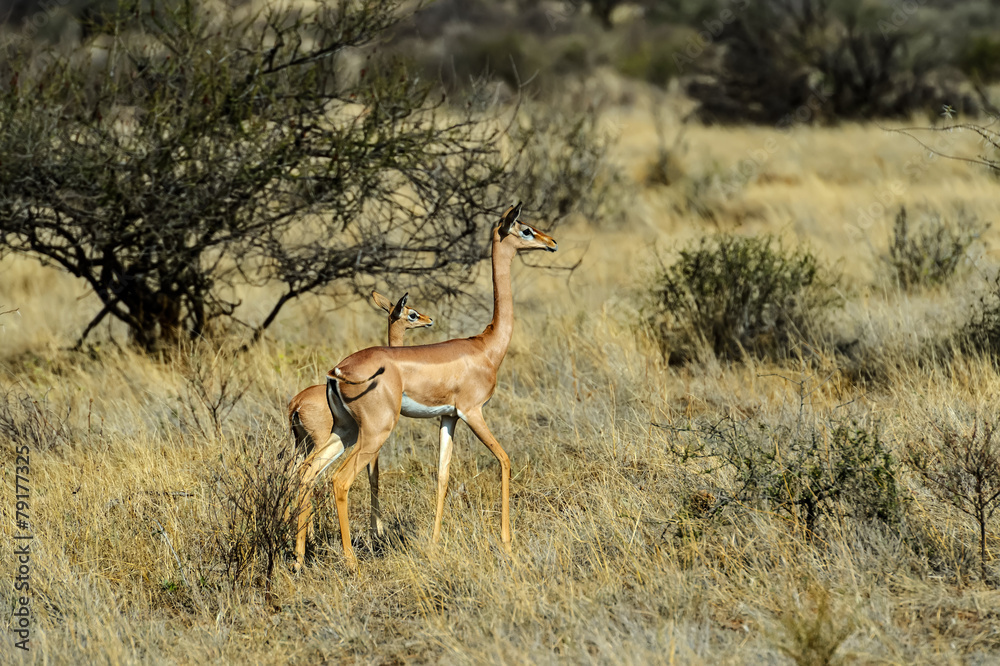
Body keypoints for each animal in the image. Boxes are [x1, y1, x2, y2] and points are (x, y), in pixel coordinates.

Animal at [287, 291, 432, 539]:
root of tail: (296, 404)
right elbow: (374, 478)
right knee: (308, 476)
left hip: (302, 444)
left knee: (292, 475)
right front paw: (378, 530)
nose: (429, 320)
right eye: (412, 313)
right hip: (319, 443)